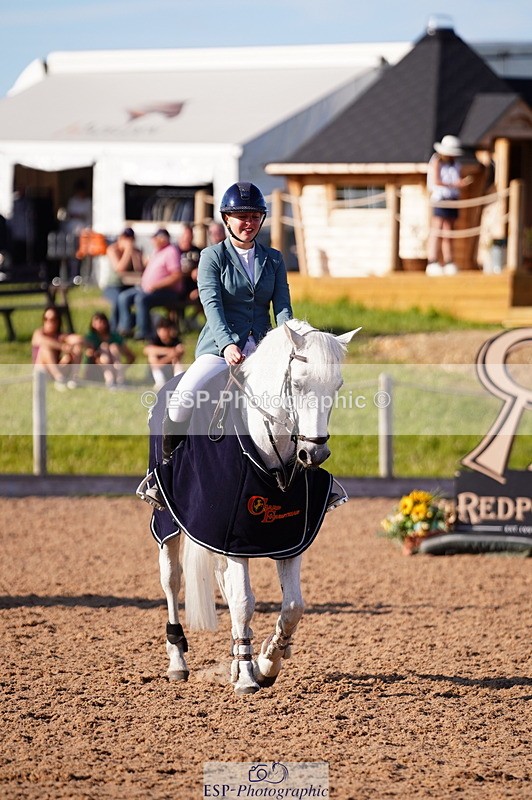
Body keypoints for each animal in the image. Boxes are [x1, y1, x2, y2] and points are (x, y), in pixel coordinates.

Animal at [139, 320, 359, 694]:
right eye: (297, 384)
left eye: (337, 386)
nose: (314, 454)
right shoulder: (232, 537)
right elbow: (243, 602)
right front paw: (246, 675)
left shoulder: (286, 540)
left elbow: (293, 605)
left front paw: (268, 661)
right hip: (170, 522)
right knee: (171, 581)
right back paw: (178, 661)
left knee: (223, 582)